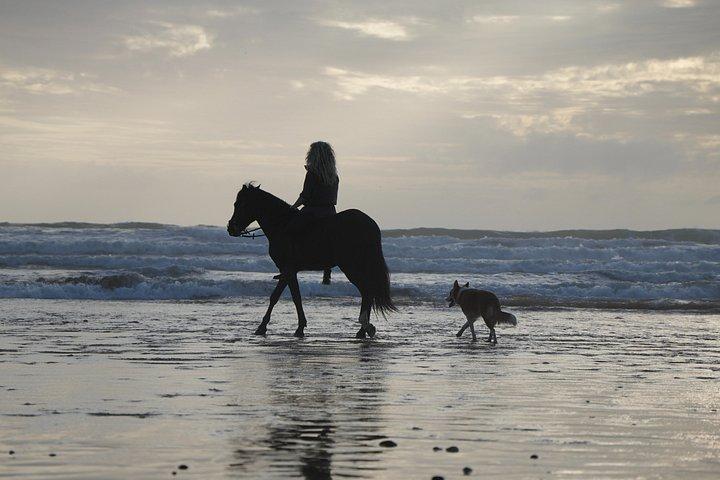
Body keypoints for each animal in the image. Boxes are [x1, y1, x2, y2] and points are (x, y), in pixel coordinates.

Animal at [227, 183, 396, 338]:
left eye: (239, 204)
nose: (231, 228)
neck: (281, 225)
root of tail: (370, 225)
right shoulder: (290, 271)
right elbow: (296, 297)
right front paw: (300, 327)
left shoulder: (287, 269)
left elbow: (276, 297)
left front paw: (262, 327)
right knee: (367, 291)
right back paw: (363, 330)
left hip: (351, 266)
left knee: (367, 290)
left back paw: (364, 328)